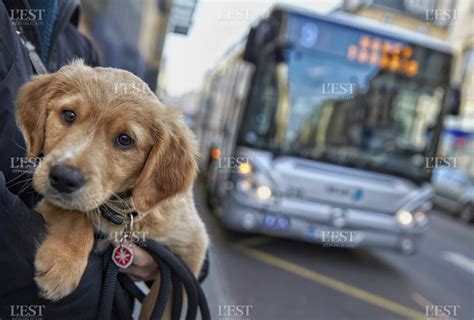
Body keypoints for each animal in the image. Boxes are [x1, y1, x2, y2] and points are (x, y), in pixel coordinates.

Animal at [15, 59, 208, 318]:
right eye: (69, 115)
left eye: (125, 140)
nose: (64, 178)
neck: (120, 210)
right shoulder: (47, 200)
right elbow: (76, 214)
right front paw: (63, 262)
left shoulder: (188, 253)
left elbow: (163, 304)